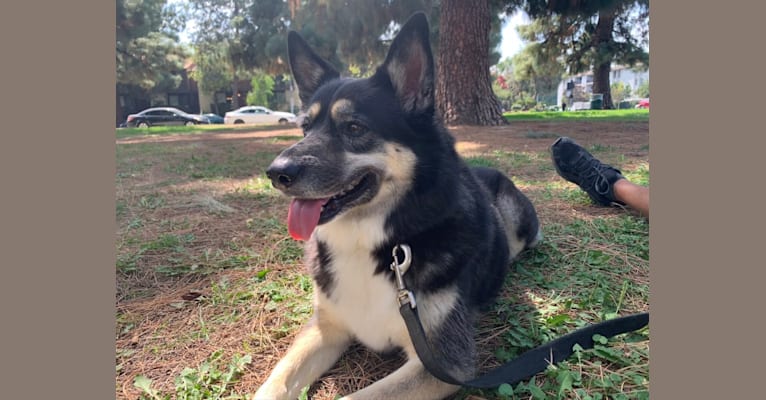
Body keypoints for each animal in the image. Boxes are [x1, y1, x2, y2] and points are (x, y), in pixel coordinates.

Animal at [258, 12, 540, 400]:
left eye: (354, 127)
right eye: (305, 128)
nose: (276, 173)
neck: (371, 242)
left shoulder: (442, 364)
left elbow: (357, 397)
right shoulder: (326, 327)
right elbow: (276, 380)